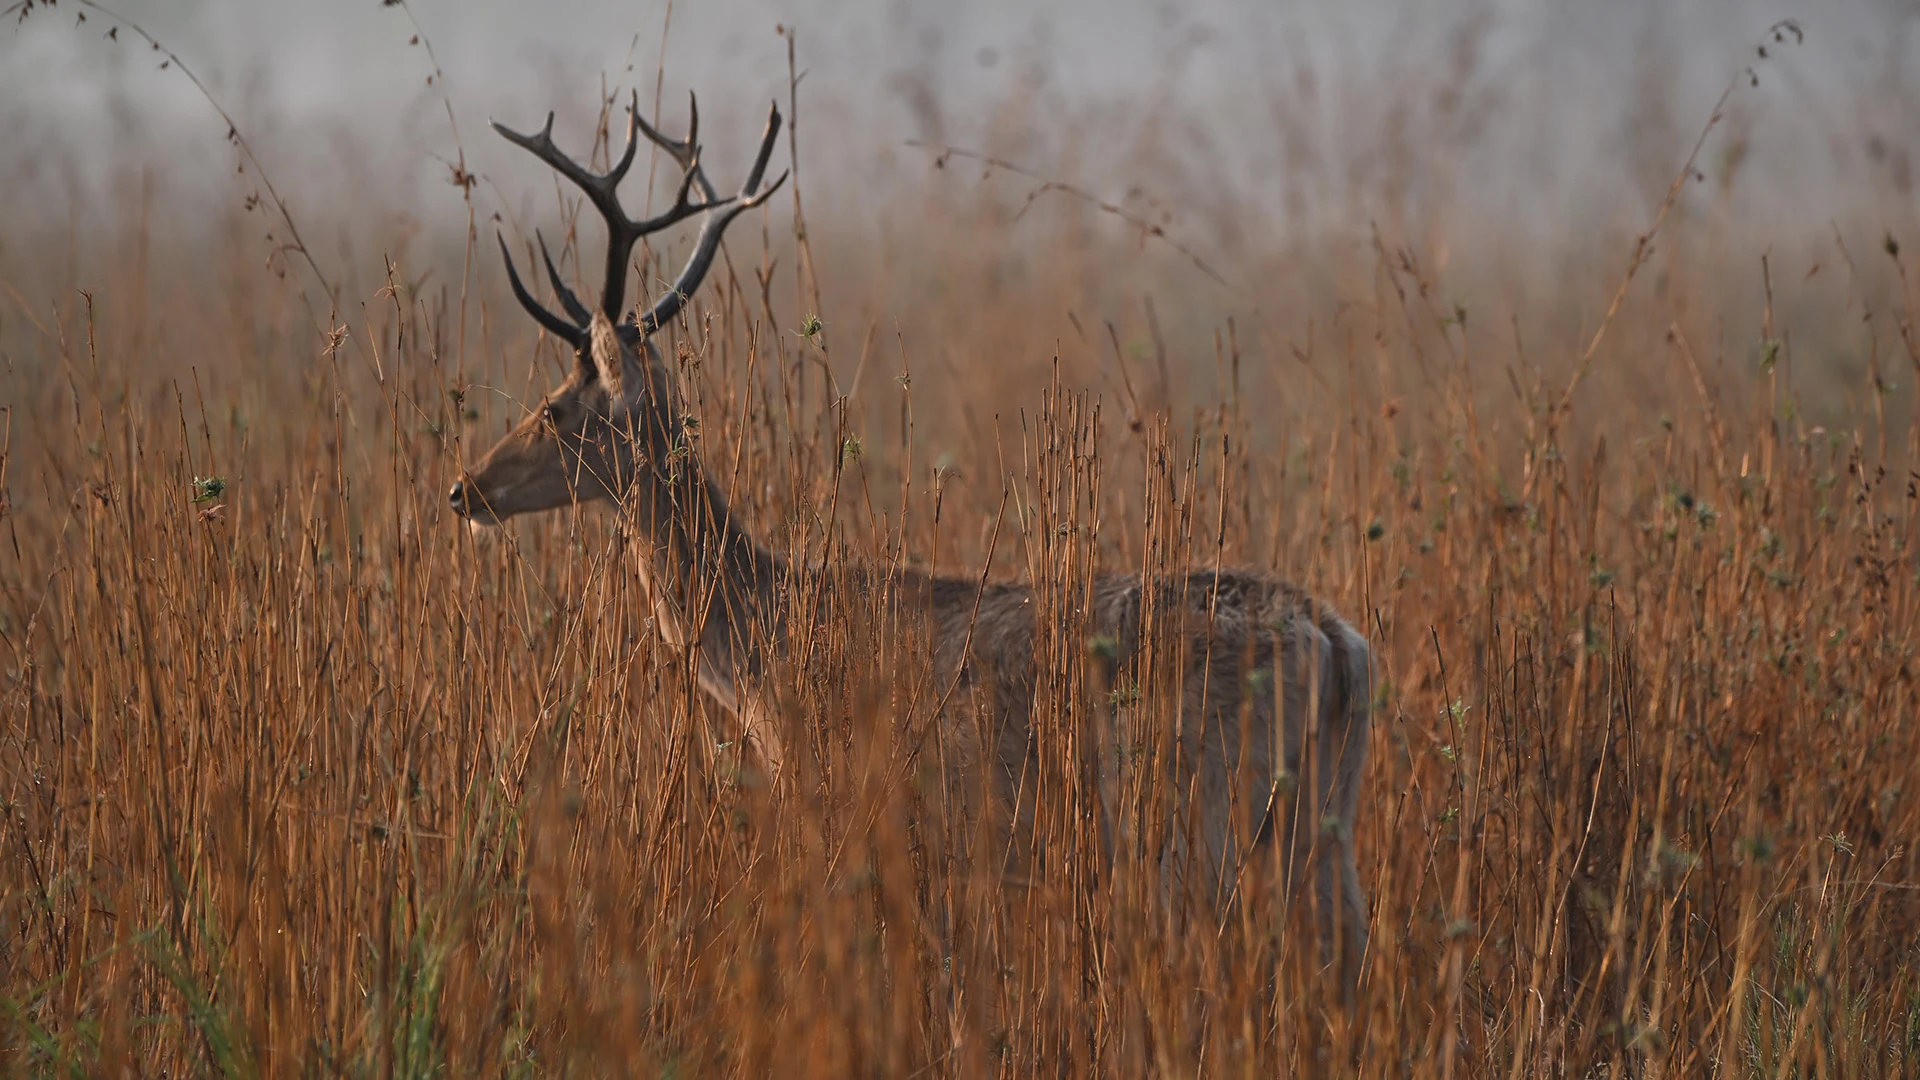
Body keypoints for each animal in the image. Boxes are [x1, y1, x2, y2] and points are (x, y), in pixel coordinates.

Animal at [449, 88, 1382, 991]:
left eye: (554, 409)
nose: (465, 488)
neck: (760, 646)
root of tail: (1335, 641)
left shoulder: (847, 800)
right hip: (1322, 813)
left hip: (1200, 807)